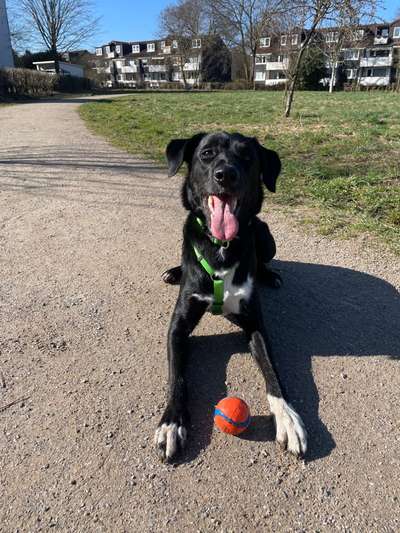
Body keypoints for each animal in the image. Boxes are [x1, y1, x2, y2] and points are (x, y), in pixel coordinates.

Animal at [155, 131, 308, 460]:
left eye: (247, 157)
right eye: (207, 153)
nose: (226, 174)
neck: (222, 248)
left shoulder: (256, 325)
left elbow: (273, 372)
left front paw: (288, 417)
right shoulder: (178, 327)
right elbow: (177, 378)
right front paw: (172, 422)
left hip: (266, 235)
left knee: (264, 258)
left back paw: (270, 274)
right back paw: (174, 271)